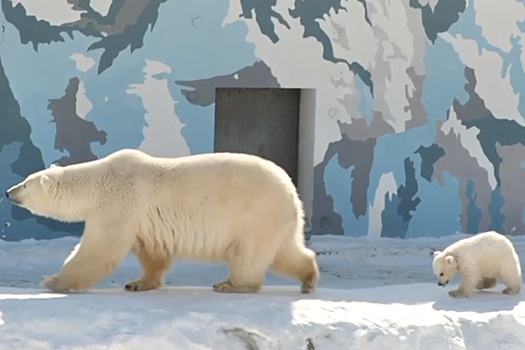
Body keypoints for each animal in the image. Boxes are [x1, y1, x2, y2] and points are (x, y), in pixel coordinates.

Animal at [6, 149, 318, 294]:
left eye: (25, 184)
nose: (8, 192)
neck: (98, 181)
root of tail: (292, 191)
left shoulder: (119, 200)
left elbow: (99, 248)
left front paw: (53, 280)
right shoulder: (142, 218)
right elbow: (150, 251)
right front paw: (138, 283)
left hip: (254, 215)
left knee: (248, 255)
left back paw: (231, 284)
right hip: (277, 221)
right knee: (285, 252)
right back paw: (308, 278)